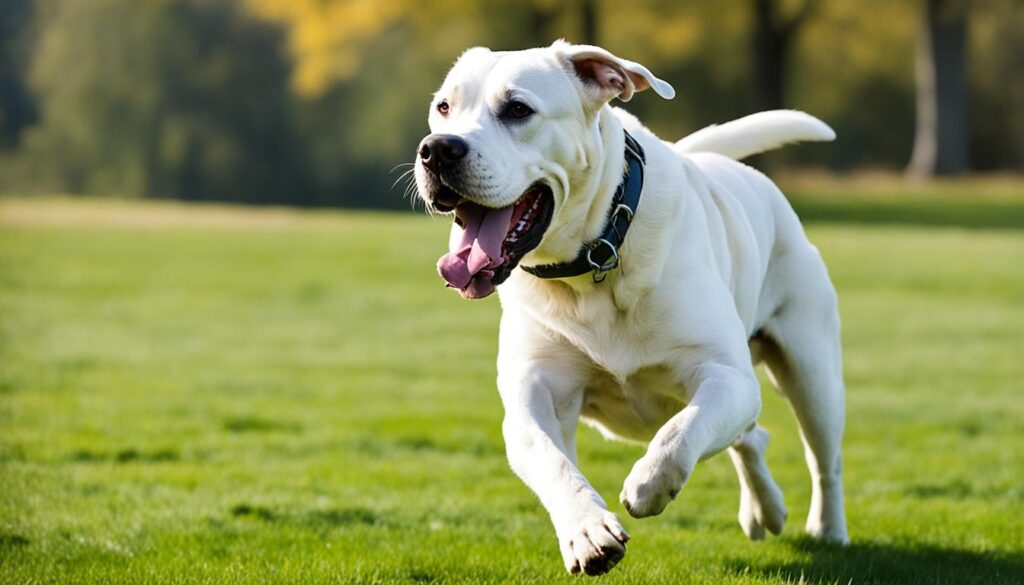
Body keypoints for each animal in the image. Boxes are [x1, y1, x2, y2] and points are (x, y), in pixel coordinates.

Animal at [413, 41, 847, 577]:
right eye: (443, 107)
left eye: (517, 109)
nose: (438, 148)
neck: (589, 263)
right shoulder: (533, 397)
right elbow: (553, 461)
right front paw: (587, 532)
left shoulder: (728, 376)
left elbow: (683, 430)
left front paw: (649, 484)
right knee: (751, 437)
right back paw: (764, 509)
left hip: (812, 373)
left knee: (822, 460)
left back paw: (827, 530)